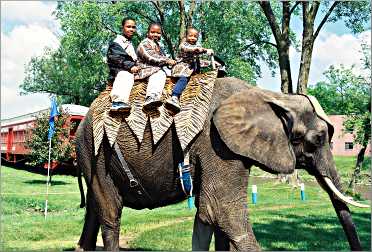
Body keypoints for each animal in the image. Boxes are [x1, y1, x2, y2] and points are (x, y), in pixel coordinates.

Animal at [74, 76, 368, 250]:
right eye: (317, 139)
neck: (267, 96)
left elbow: (207, 216)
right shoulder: (217, 144)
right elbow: (223, 212)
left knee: (95, 209)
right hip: (96, 149)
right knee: (111, 213)